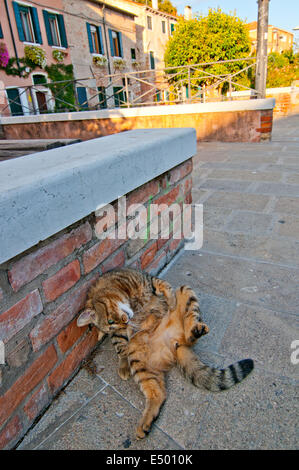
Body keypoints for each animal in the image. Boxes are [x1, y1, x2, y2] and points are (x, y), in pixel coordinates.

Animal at [76, 270, 254, 438]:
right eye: (112, 324)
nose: (126, 322)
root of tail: (174, 343)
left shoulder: (146, 279)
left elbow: (162, 285)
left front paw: (169, 299)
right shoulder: (120, 334)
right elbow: (119, 345)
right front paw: (122, 361)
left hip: (185, 291)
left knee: (191, 317)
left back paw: (193, 329)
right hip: (140, 363)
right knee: (158, 393)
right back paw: (145, 423)